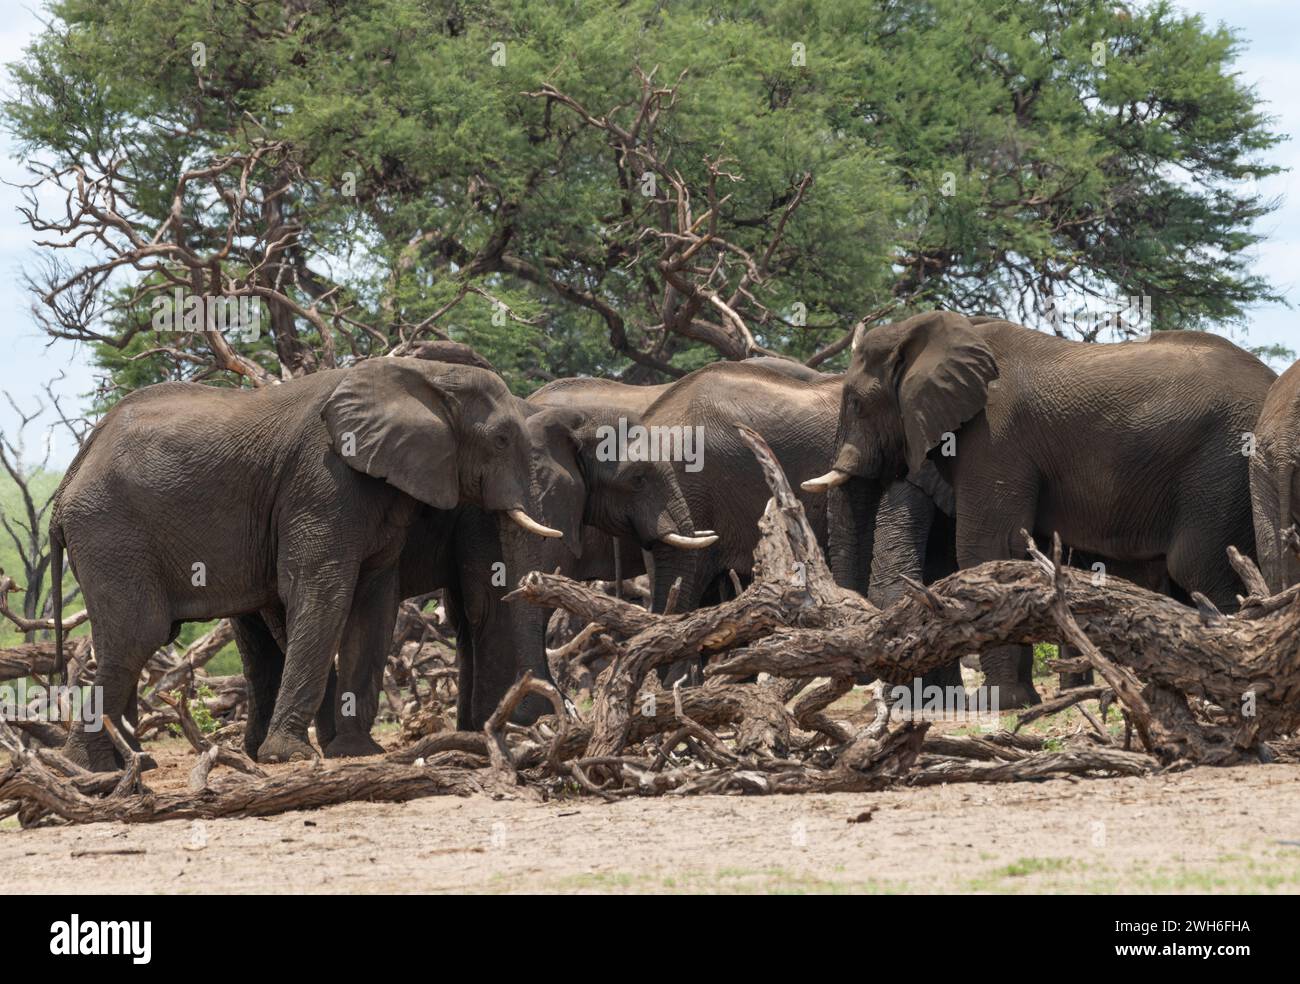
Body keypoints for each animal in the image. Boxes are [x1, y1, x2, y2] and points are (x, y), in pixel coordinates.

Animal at [50, 356, 561, 769]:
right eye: (500, 439)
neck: (424, 374)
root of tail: (69, 478)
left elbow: (372, 606)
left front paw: (355, 751)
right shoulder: (322, 481)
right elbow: (320, 592)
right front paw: (291, 757)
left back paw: (130, 764)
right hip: (110, 530)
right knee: (138, 634)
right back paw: (88, 769)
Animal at [795, 310, 1274, 701]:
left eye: (857, 403)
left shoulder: (995, 437)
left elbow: (987, 547)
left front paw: (1002, 704)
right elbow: (1024, 553)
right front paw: (1020, 699)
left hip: (1223, 460)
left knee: (1198, 565)